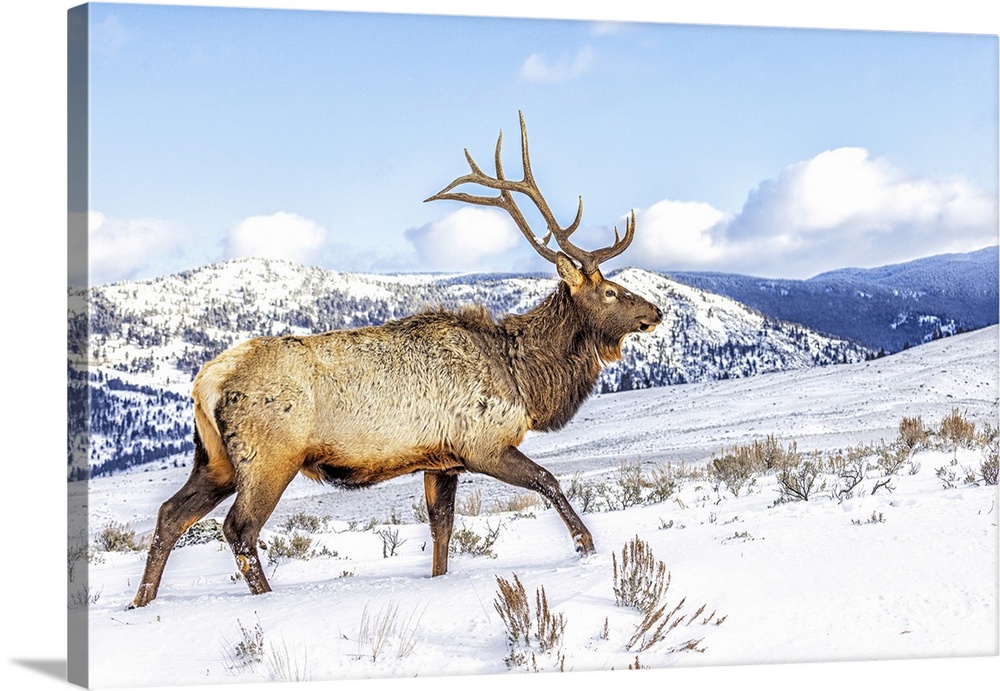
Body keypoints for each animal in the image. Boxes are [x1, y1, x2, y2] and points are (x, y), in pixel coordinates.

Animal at [129, 112, 663, 608]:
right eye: (612, 291)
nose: (655, 311)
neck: (525, 380)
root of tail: (206, 381)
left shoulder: (442, 460)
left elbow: (442, 530)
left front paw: (439, 580)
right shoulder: (482, 443)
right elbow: (547, 481)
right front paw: (586, 545)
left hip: (214, 459)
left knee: (170, 514)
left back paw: (140, 601)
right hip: (269, 457)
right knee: (239, 528)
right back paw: (265, 598)